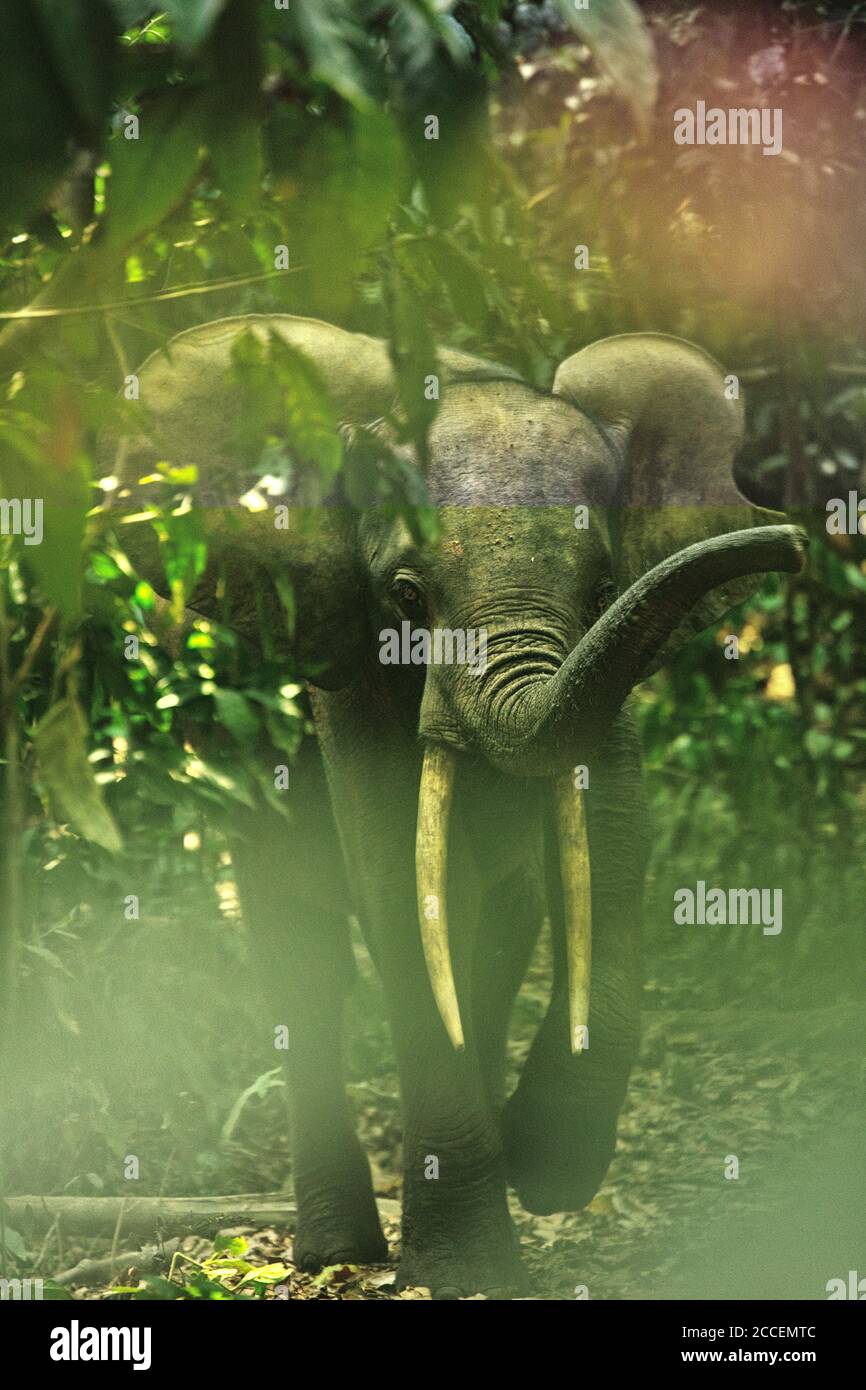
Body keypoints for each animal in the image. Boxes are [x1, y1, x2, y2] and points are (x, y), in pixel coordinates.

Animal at [107, 318, 806, 1301]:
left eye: (601, 592)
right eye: (406, 596)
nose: (794, 542)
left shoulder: (612, 652)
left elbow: (612, 845)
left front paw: (543, 1165)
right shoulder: (343, 648)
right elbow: (398, 883)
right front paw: (473, 1262)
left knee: (501, 923)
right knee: (302, 944)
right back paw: (338, 1251)